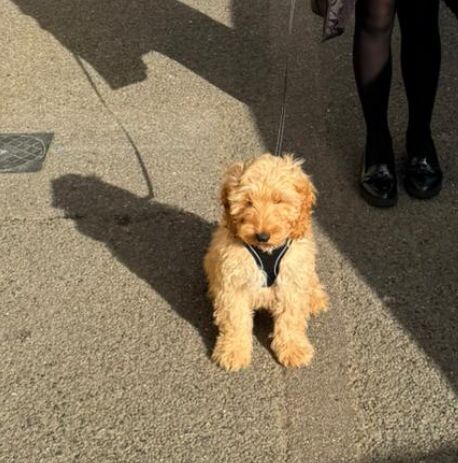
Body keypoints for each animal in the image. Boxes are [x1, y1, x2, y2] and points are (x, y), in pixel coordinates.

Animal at [202, 154, 328, 372]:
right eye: (248, 202)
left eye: (279, 200)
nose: (262, 236)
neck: (266, 251)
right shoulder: (233, 281)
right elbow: (234, 318)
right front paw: (233, 351)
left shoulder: (291, 279)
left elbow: (291, 318)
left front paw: (293, 349)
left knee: (310, 279)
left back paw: (315, 298)